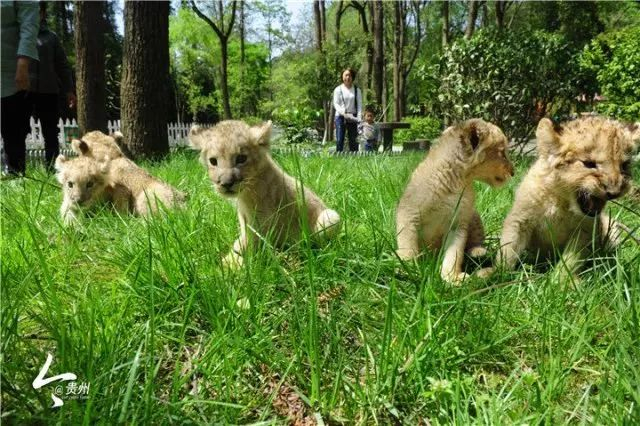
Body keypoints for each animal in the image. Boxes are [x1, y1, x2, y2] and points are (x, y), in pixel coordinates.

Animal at [189, 120, 341, 267]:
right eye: (213, 161)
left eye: (241, 158)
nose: (226, 184)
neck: (246, 193)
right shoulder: (245, 217)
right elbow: (244, 238)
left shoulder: (263, 221)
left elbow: (252, 247)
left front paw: (234, 267)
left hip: (330, 217)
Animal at [395, 118, 514, 283]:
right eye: (502, 152)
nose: (513, 172)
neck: (456, 180)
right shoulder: (408, 214)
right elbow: (408, 247)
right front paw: (408, 271)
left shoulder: (458, 223)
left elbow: (454, 253)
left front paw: (452, 277)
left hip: (474, 215)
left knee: (476, 241)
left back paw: (478, 251)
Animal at [496, 117, 636, 278]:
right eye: (589, 163)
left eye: (624, 165)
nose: (614, 192)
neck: (561, 201)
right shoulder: (520, 220)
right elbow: (508, 249)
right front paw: (495, 275)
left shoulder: (584, 231)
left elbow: (570, 261)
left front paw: (561, 280)